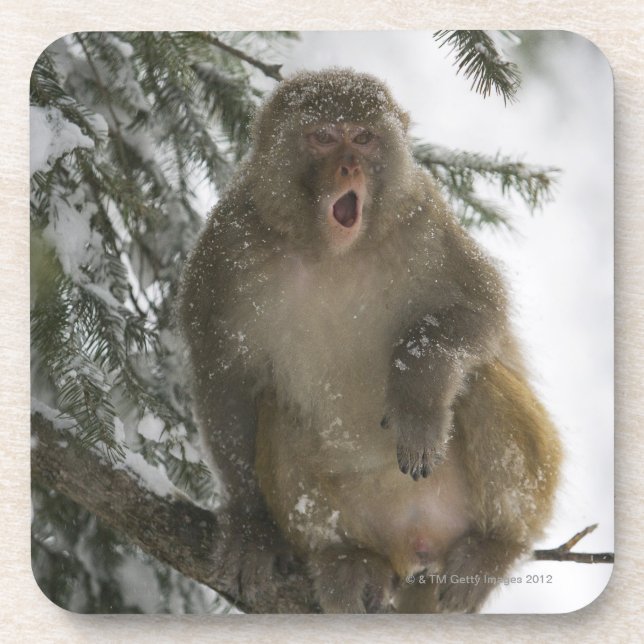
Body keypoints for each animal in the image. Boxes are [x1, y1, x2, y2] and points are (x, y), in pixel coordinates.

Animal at [178, 68, 561, 613]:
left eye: (363, 137)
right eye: (322, 136)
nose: (349, 167)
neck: (331, 253)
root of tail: (417, 542)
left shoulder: (423, 221)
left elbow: (480, 313)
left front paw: (416, 396)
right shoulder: (226, 251)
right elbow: (227, 380)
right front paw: (252, 525)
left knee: (478, 380)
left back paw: (495, 544)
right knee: (278, 408)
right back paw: (346, 557)